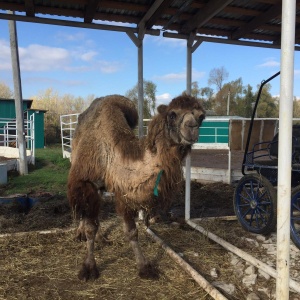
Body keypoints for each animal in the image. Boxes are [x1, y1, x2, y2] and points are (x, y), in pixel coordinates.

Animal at [67, 92, 205, 280]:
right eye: (172, 114)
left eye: (201, 116)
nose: (192, 127)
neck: (110, 153)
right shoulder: (87, 181)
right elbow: (90, 227)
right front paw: (88, 267)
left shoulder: (123, 191)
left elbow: (132, 231)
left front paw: (144, 267)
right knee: (83, 209)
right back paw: (81, 233)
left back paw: (102, 238)